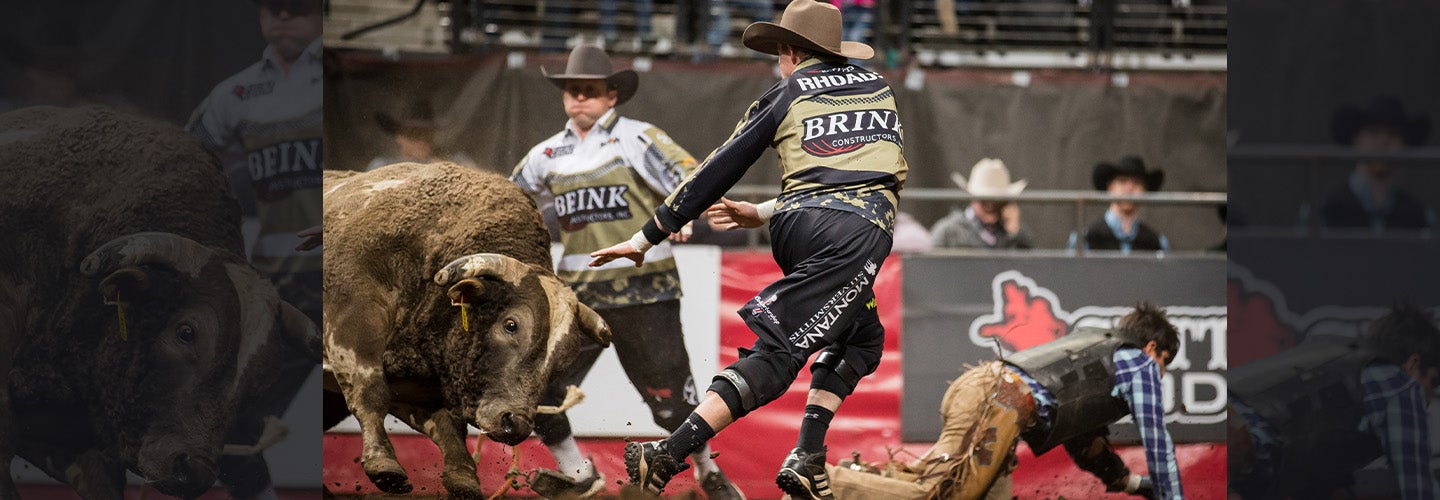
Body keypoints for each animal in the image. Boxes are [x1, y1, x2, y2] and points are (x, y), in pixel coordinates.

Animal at [321, 162, 610, 499]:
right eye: (510, 325)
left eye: (564, 360)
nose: (516, 424)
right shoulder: (353, 322)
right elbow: (371, 392)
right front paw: (384, 464)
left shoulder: (418, 380)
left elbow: (447, 425)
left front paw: (463, 476)